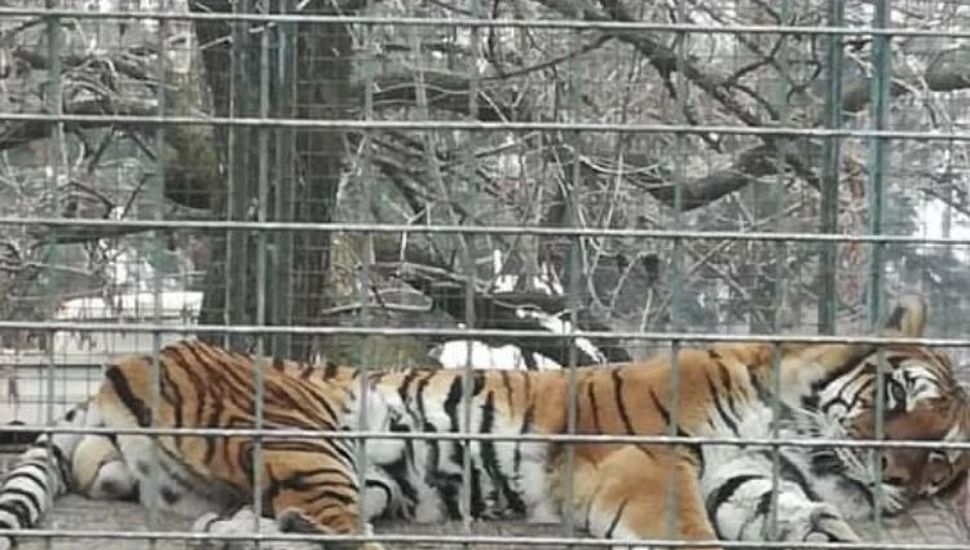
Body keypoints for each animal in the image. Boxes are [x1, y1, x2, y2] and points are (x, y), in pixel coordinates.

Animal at [0, 294, 968, 550]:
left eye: (945, 466)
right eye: (899, 401)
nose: (902, 481)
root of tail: (102, 380)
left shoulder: (746, 479)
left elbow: (810, 520)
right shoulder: (648, 463)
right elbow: (689, 531)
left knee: (264, 520)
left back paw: (235, 532)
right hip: (307, 431)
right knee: (336, 530)